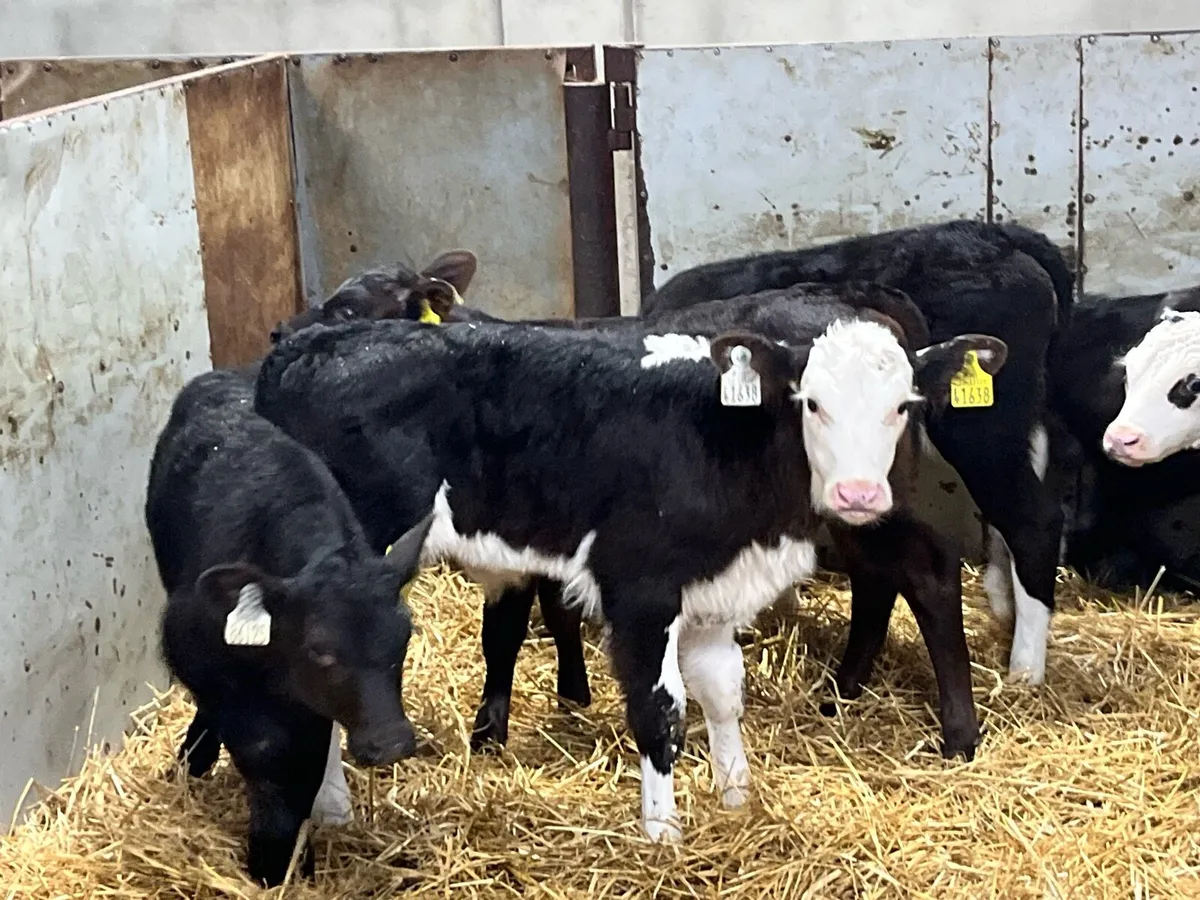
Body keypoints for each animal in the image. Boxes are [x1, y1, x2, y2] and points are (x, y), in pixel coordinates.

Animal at [145, 369, 432, 886]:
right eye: (320, 649)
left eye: (405, 636)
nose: (392, 743)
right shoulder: (197, 655)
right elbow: (265, 751)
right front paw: (270, 859)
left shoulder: (309, 703)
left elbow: (307, 757)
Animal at [253, 300, 1006, 842]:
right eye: (810, 402)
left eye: (903, 406)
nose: (857, 494)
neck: (719, 434)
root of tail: (300, 344)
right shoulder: (639, 589)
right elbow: (661, 711)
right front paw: (663, 834)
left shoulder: (712, 592)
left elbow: (723, 696)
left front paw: (736, 802)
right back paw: (331, 811)